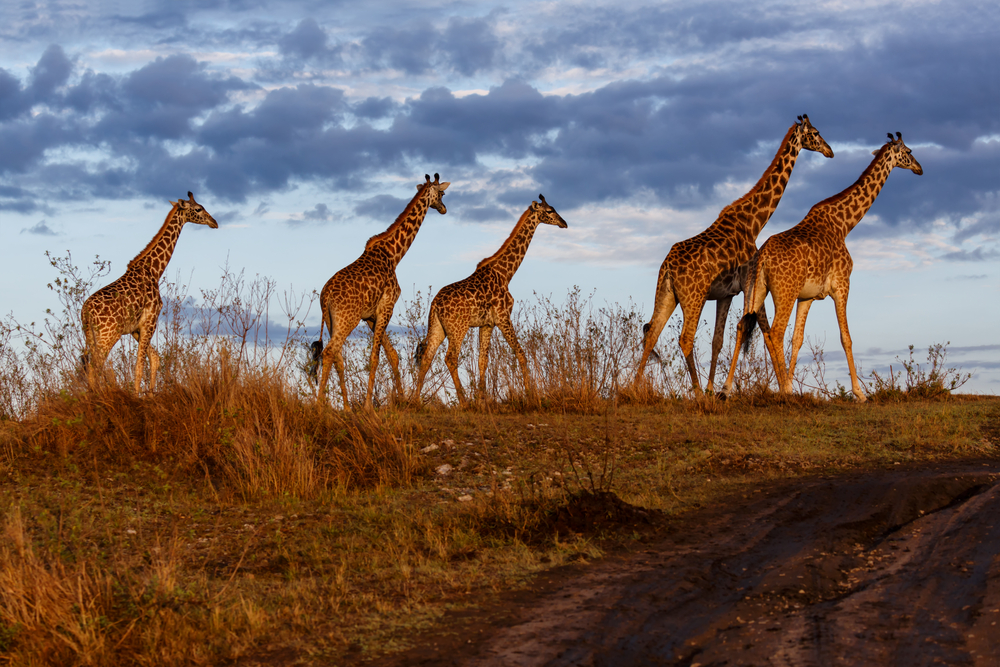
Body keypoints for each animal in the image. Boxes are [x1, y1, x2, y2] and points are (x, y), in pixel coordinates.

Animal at [80, 192, 219, 392]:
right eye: (199, 208)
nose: (214, 222)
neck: (154, 270)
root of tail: (85, 311)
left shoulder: (135, 328)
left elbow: (154, 358)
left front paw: (150, 394)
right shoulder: (150, 321)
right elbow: (139, 366)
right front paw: (137, 395)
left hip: (90, 335)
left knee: (90, 367)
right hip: (108, 334)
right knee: (94, 367)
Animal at [316, 175, 450, 410]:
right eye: (442, 193)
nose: (443, 209)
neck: (394, 255)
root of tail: (325, 296)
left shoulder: (370, 316)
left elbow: (392, 355)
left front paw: (402, 399)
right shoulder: (386, 307)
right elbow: (375, 357)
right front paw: (368, 407)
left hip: (332, 321)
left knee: (337, 356)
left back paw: (347, 408)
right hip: (346, 319)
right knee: (330, 351)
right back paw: (320, 406)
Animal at [410, 194, 568, 408]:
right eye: (550, 211)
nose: (564, 223)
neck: (505, 273)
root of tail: (434, 304)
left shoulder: (487, 324)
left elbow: (482, 361)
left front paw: (482, 401)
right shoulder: (503, 317)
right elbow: (521, 353)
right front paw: (530, 396)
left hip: (438, 327)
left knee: (426, 358)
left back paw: (415, 400)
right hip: (458, 327)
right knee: (450, 358)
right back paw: (463, 401)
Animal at [636, 117, 832, 394]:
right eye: (815, 133)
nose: (830, 151)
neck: (754, 222)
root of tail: (668, 268)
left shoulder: (726, 294)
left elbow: (718, 341)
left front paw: (713, 389)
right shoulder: (751, 285)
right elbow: (767, 332)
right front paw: (784, 388)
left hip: (666, 295)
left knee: (652, 333)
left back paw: (632, 387)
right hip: (694, 297)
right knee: (685, 338)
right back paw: (696, 394)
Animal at [724, 132, 924, 402]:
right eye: (909, 151)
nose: (919, 168)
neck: (844, 224)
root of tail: (762, 257)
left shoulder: (806, 296)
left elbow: (798, 339)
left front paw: (791, 382)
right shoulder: (842, 285)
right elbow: (846, 338)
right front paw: (860, 393)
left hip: (753, 291)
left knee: (742, 326)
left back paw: (725, 390)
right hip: (784, 292)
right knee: (774, 332)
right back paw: (784, 391)